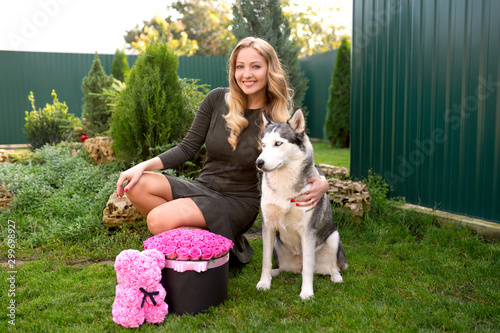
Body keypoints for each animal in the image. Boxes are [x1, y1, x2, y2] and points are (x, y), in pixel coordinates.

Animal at [254, 108, 348, 298]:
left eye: (278, 143)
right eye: (263, 144)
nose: (258, 163)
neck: (284, 182)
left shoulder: (308, 230)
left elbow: (308, 267)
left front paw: (307, 293)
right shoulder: (268, 227)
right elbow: (266, 261)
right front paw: (264, 283)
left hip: (334, 237)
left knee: (331, 266)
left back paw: (336, 276)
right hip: (277, 244)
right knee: (283, 267)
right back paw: (276, 272)